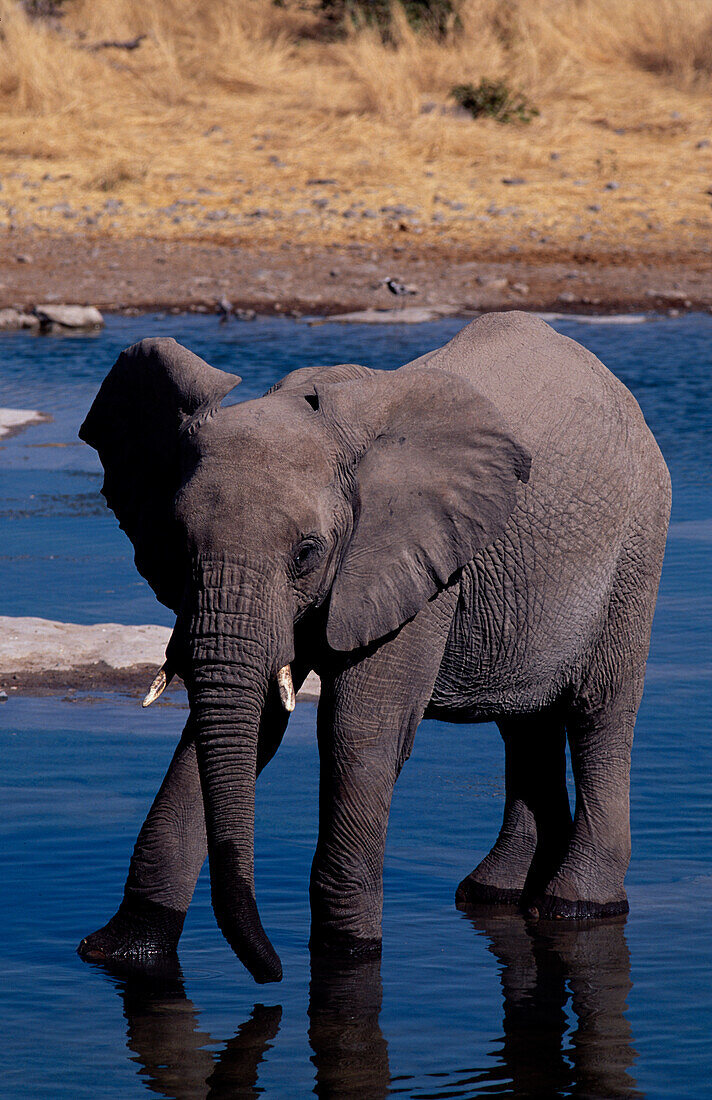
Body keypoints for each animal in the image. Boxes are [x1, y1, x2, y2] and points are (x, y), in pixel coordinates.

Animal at [75, 314, 673, 985]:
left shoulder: (419, 560)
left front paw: (346, 959)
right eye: (177, 546)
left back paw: (575, 905)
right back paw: (493, 894)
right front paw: (123, 952)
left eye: (305, 553)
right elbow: (246, 725)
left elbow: (358, 731)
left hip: (636, 547)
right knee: (525, 722)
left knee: (601, 714)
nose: (270, 973)